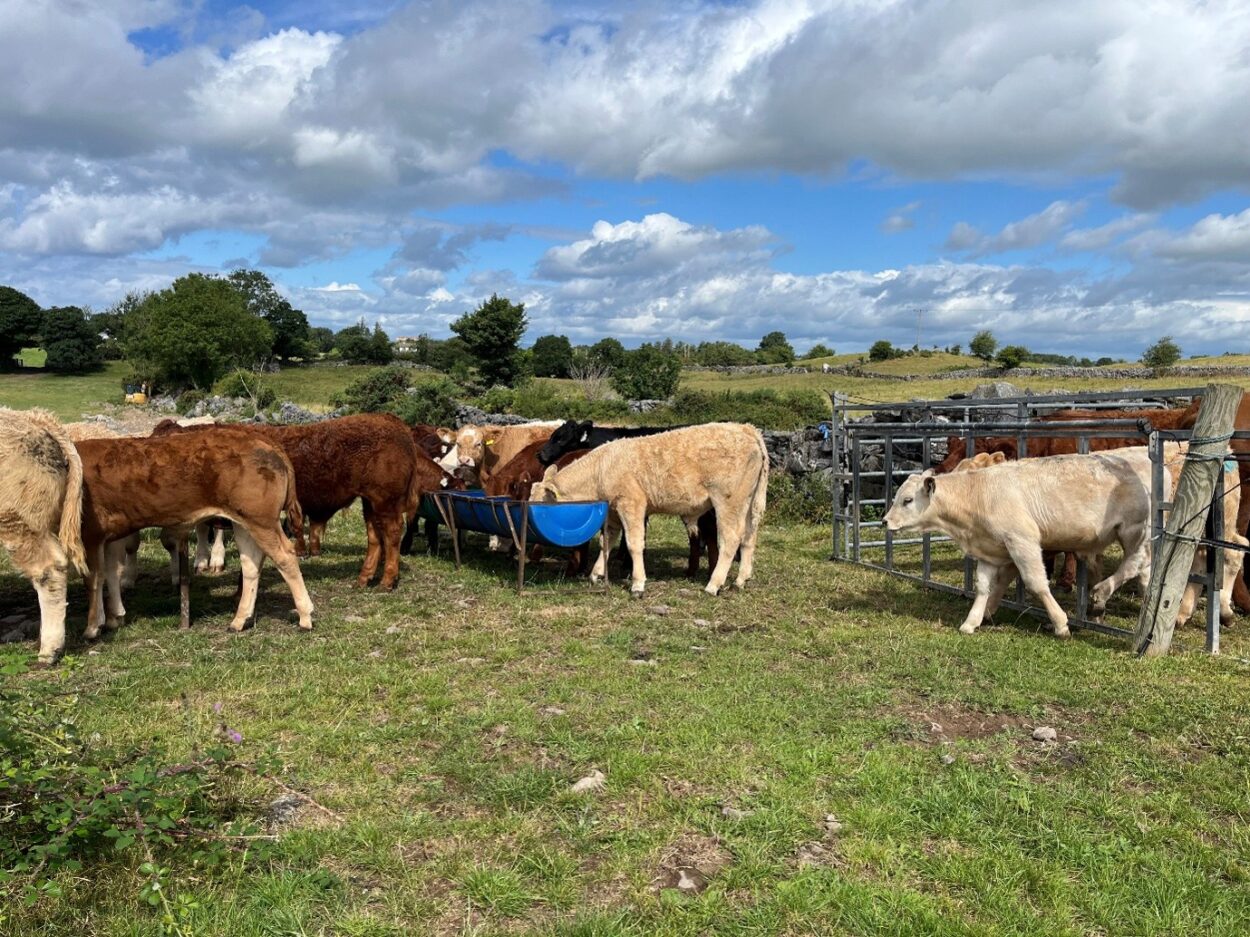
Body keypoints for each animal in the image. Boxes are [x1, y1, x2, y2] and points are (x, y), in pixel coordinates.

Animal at [72, 428, 313, 662]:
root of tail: (259, 438)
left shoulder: (90, 534)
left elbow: (93, 579)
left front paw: (92, 627)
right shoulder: (110, 537)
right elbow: (111, 573)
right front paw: (114, 617)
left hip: (261, 521)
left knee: (286, 557)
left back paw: (305, 616)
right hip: (244, 523)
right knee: (251, 565)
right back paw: (239, 620)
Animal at [529, 423, 768, 597]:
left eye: (541, 507)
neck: (602, 467)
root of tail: (746, 429)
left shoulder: (631, 505)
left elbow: (634, 544)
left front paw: (637, 584)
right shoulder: (613, 514)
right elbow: (606, 543)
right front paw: (596, 574)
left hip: (728, 503)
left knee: (731, 539)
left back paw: (713, 584)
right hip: (748, 504)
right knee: (749, 537)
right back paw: (740, 581)